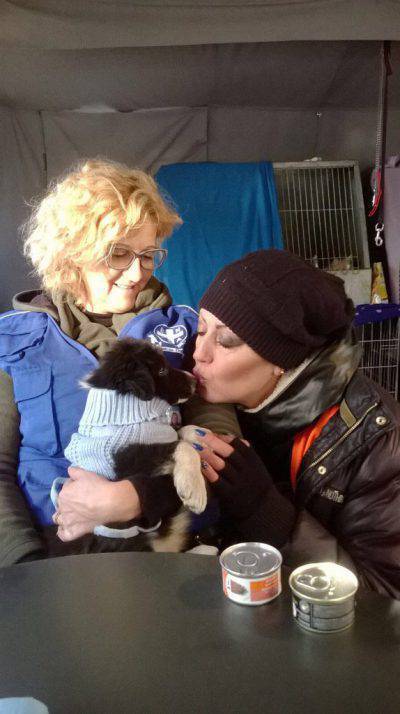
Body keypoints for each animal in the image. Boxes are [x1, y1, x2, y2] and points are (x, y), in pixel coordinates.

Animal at [62, 338, 208, 552]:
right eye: (162, 370)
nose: (195, 381)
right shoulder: (132, 457)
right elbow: (180, 446)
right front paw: (194, 491)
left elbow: (179, 432)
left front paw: (200, 435)